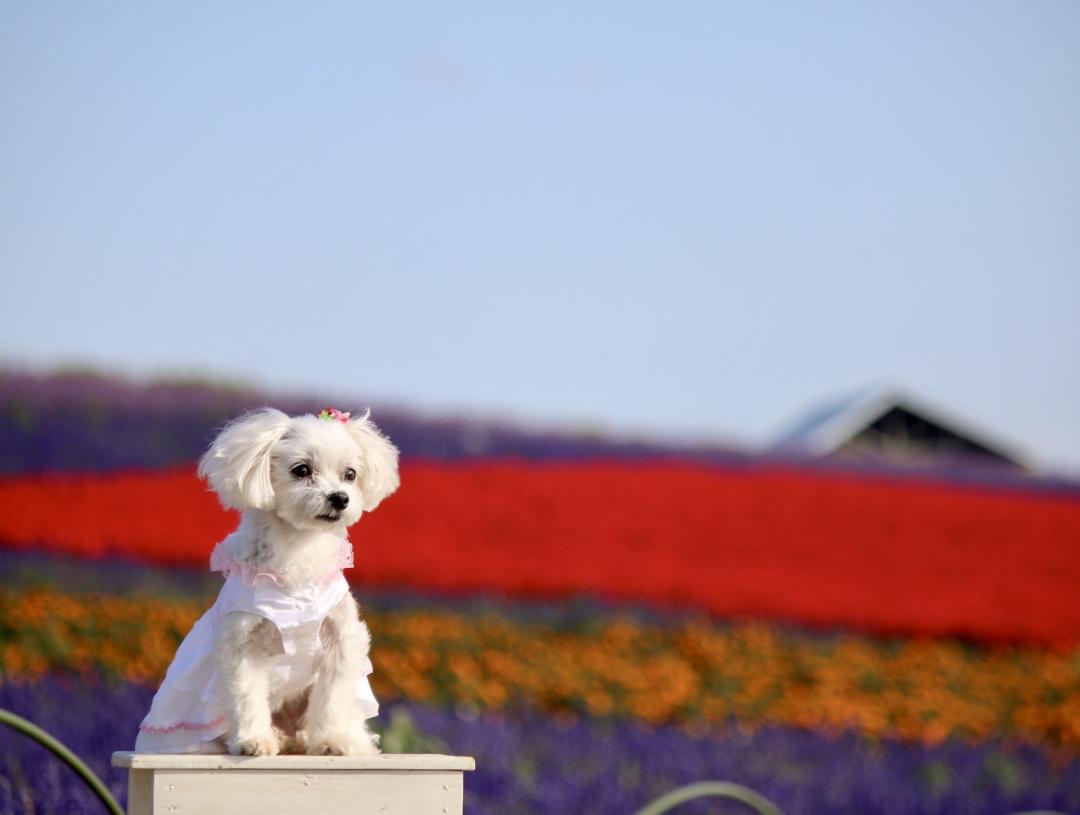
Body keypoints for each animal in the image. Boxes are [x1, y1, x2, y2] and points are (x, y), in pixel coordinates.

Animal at [133, 408, 399, 759]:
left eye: (350, 474)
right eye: (302, 470)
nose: (339, 498)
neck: (298, 555)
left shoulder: (340, 637)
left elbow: (333, 696)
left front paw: (332, 740)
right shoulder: (242, 643)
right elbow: (247, 695)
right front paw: (253, 740)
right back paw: (271, 736)